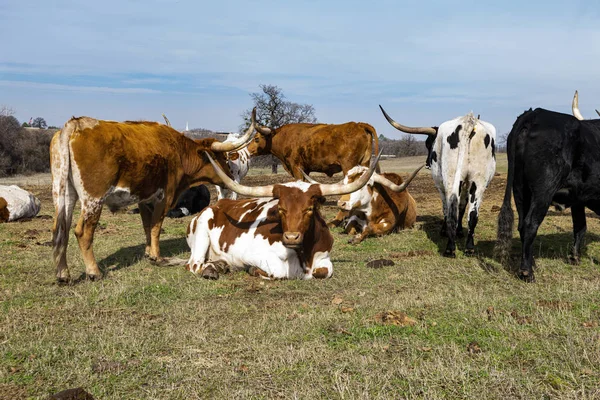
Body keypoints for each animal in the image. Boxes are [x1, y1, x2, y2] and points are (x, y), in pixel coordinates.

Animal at [51, 110, 255, 282]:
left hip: (63, 194)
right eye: (221, 157)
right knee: (83, 232)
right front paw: (157, 256)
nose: (230, 176)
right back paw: (94, 272)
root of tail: (76, 124)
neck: (179, 152)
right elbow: (156, 227)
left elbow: (147, 227)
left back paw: (63, 274)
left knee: (61, 230)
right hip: (93, 199)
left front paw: (149, 252)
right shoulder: (164, 198)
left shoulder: (144, 200)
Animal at [245, 121, 378, 179]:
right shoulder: (305, 170)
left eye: (256, 139)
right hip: (364, 163)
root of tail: (358, 124)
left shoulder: (296, 167)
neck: (284, 137)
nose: (247, 150)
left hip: (349, 166)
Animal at [380, 105, 496, 256]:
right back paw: (469, 247)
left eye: (429, 143)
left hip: (450, 179)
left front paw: (444, 231)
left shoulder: (440, 185)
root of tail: (468, 121)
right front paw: (459, 231)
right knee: (473, 215)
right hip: (479, 182)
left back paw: (450, 248)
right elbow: (462, 207)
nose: (427, 162)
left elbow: (446, 208)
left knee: (451, 208)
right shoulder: (467, 185)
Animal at [494, 106, 600, 282]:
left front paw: (574, 257)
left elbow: (580, 226)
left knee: (522, 224)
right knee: (530, 223)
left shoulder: (578, 198)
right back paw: (527, 272)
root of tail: (536, 113)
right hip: (544, 189)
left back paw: (531, 264)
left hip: (520, 188)